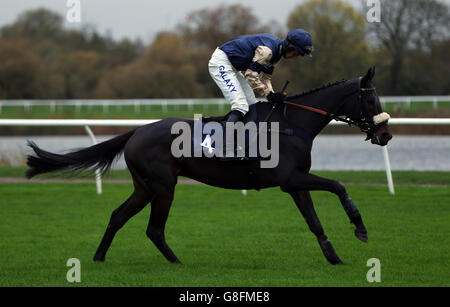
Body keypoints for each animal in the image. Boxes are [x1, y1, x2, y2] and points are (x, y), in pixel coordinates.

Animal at [25, 67, 390, 264]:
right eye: (371, 99)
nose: (385, 134)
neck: (291, 124)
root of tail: (137, 131)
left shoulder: (295, 182)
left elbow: (314, 222)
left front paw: (334, 257)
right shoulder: (291, 178)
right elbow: (338, 185)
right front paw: (360, 227)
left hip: (145, 186)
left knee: (118, 216)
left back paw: (100, 257)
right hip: (163, 186)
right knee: (154, 228)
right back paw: (177, 263)